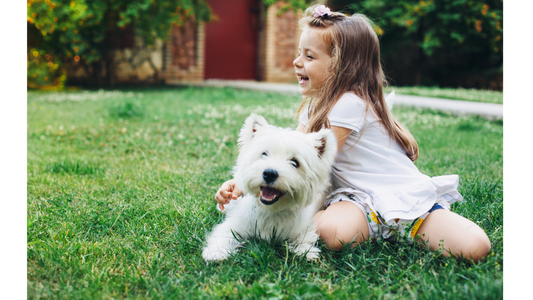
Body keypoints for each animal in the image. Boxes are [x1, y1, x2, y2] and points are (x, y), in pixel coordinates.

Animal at [202, 113, 334, 262]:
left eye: (295, 162)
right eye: (264, 154)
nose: (269, 173)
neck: (271, 210)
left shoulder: (303, 227)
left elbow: (305, 238)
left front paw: (306, 251)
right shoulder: (237, 223)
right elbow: (225, 234)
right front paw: (216, 252)